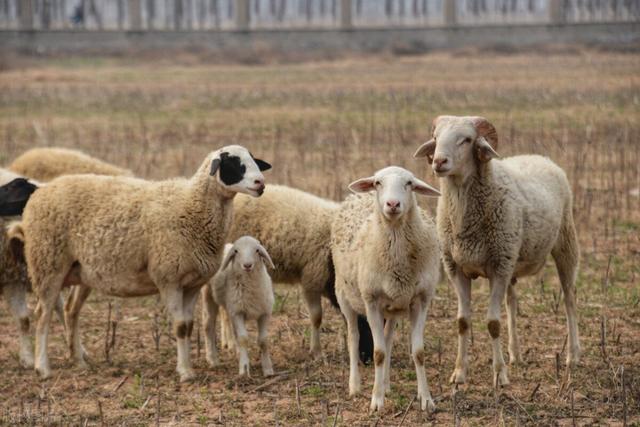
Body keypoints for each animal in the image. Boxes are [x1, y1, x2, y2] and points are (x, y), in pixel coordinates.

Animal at [15, 145, 270, 382]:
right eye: (234, 163)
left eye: (253, 160)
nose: (261, 183)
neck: (191, 205)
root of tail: (40, 192)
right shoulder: (168, 279)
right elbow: (179, 327)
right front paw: (185, 372)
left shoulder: (192, 284)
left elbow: (188, 326)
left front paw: (188, 366)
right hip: (47, 264)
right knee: (43, 314)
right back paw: (42, 367)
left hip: (82, 271)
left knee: (70, 311)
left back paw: (79, 361)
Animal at [330, 166, 440, 412]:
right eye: (378, 183)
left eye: (409, 183)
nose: (392, 204)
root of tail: (356, 197)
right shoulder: (371, 301)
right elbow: (378, 353)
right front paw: (376, 401)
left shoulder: (421, 300)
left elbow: (418, 352)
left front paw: (426, 399)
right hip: (344, 296)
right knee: (353, 336)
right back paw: (355, 386)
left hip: (394, 307)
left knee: (388, 339)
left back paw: (386, 384)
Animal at [412, 116, 584, 388]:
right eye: (436, 138)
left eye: (467, 139)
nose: (439, 162)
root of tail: (539, 157)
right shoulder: (456, 268)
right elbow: (462, 322)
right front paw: (459, 374)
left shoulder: (498, 268)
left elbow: (493, 323)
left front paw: (500, 375)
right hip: (511, 258)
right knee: (512, 302)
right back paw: (515, 354)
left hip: (565, 242)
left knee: (569, 299)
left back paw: (572, 356)